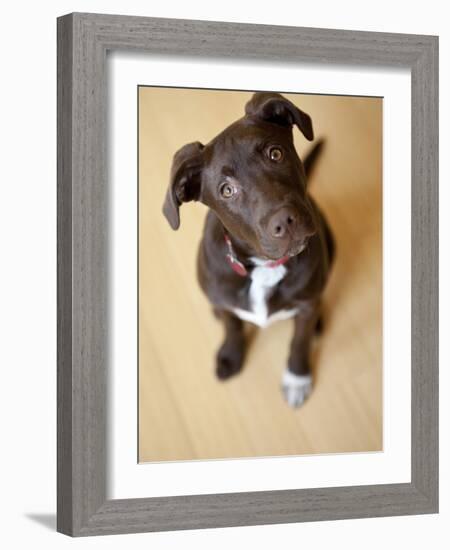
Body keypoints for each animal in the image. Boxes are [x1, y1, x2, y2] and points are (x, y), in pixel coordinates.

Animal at [163, 92, 334, 408]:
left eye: (275, 154)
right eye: (227, 190)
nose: (285, 222)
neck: (265, 267)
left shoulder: (305, 308)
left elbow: (300, 340)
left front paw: (297, 377)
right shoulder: (224, 299)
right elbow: (231, 326)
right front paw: (231, 355)